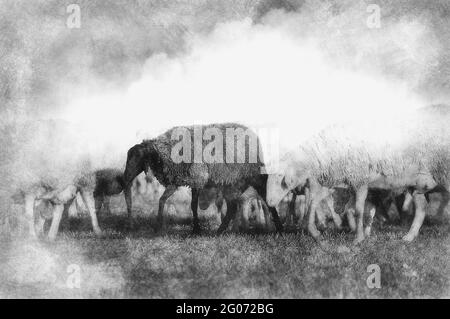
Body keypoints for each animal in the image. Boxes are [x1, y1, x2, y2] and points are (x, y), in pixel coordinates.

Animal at [121, 123, 280, 235]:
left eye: (138, 158)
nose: (125, 178)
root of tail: (253, 135)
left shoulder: (196, 177)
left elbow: (179, 203)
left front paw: (160, 227)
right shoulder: (182, 180)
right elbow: (177, 202)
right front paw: (194, 229)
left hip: (253, 176)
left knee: (263, 197)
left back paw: (278, 227)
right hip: (231, 182)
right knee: (233, 206)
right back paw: (220, 231)